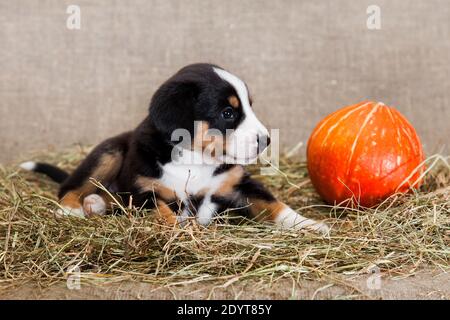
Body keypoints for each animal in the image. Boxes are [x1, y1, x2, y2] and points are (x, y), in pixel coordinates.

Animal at [21, 63, 328, 232]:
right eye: (228, 112)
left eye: (249, 106)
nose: (266, 140)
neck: (196, 159)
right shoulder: (144, 192)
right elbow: (163, 214)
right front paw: (181, 231)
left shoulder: (239, 186)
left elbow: (277, 205)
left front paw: (309, 224)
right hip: (109, 152)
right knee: (71, 187)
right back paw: (72, 209)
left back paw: (95, 204)